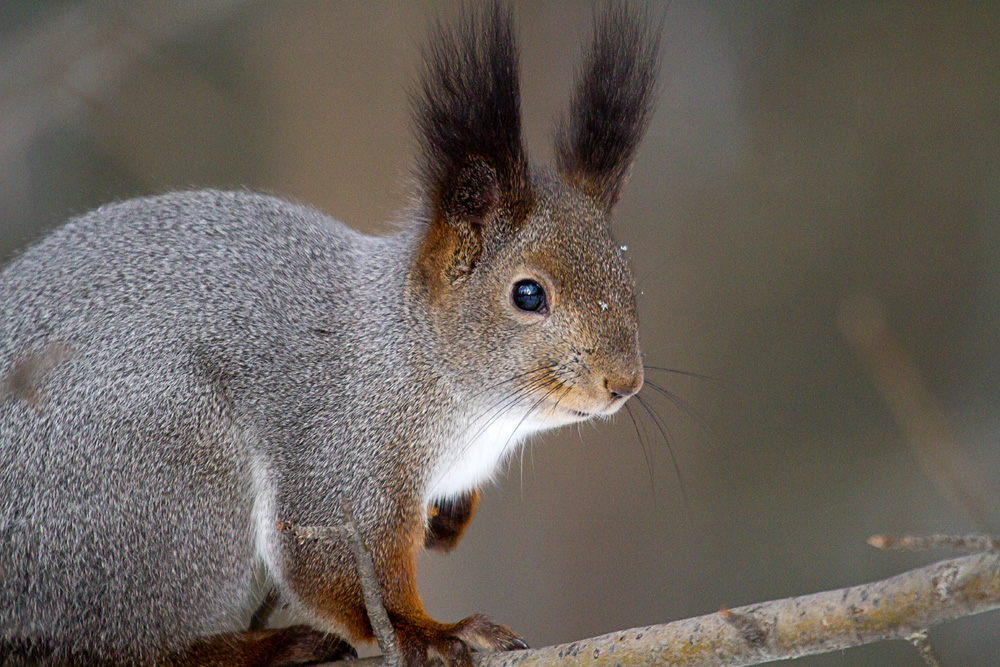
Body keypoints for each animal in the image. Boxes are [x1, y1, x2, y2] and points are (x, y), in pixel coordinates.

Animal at [0, 5, 660, 667]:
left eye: (628, 279)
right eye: (528, 295)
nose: (624, 383)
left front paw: (451, 521)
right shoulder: (345, 449)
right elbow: (337, 568)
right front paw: (429, 631)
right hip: (166, 478)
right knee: (135, 646)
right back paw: (265, 645)